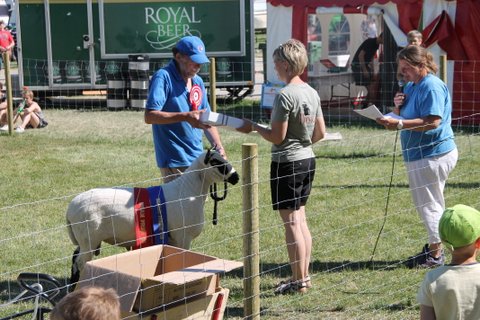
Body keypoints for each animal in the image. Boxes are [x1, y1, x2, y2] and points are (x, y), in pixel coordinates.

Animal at [66, 150, 239, 282]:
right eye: (216, 162)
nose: (236, 177)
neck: (188, 191)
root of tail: (70, 208)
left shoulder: (172, 239)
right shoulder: (183, 236)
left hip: (85, 240)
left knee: (74, 258)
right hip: (88, 240)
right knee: (80, 262)